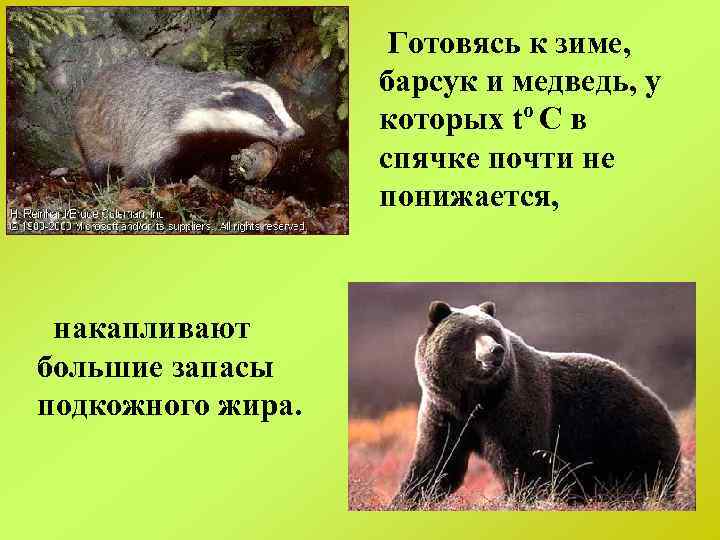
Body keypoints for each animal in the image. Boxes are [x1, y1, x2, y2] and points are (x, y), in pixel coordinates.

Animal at [392, 300, 681, 508]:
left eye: (492, 331)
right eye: (467, 333)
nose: (495, 350)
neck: (475, 398)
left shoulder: (513, 407)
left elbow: (524, 463)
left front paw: (518, 499)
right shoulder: (445, 413)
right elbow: (437, 464)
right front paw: (405, 500)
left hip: (626, 439)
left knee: (644, 479)